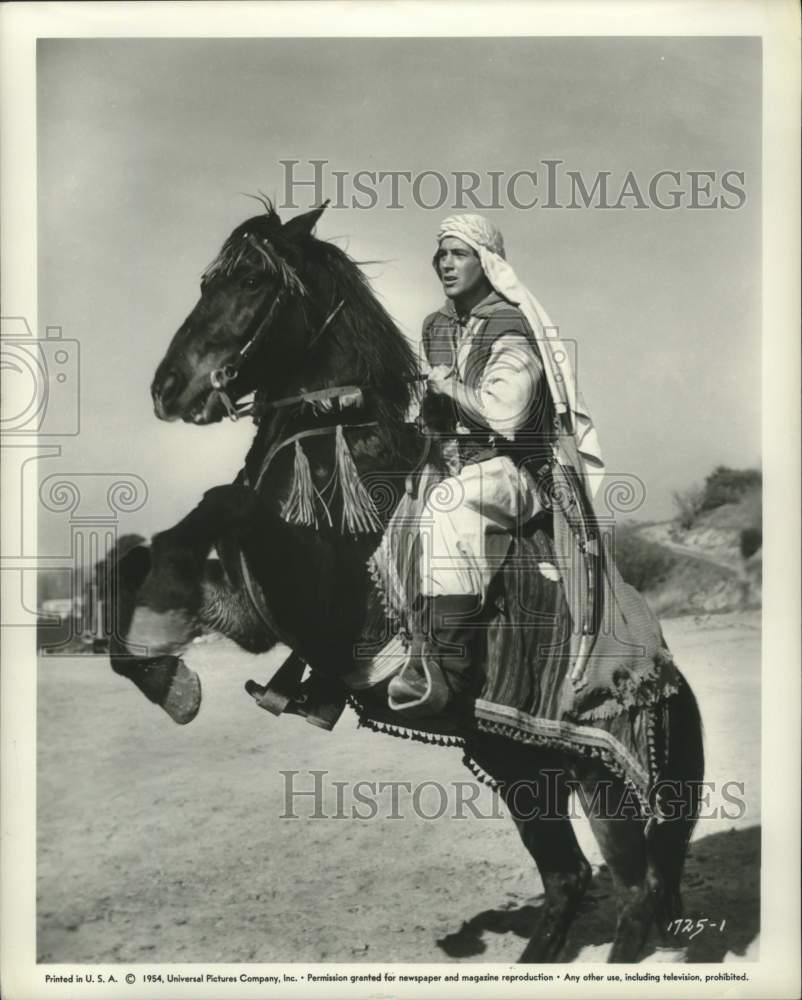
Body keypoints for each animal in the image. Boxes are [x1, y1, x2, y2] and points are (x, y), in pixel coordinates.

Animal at [111, 201, 700, 960]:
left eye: (249, 280)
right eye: (207, 280)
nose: (168, 388)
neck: (340, 448)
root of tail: (666, 678)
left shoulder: (327, 607)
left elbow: (221, 502)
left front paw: (169, 672)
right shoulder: (255, 612)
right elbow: (140, 555)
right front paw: (161, 671)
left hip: (606, 790)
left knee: (633, 897)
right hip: (517, 767)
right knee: (569, 878)